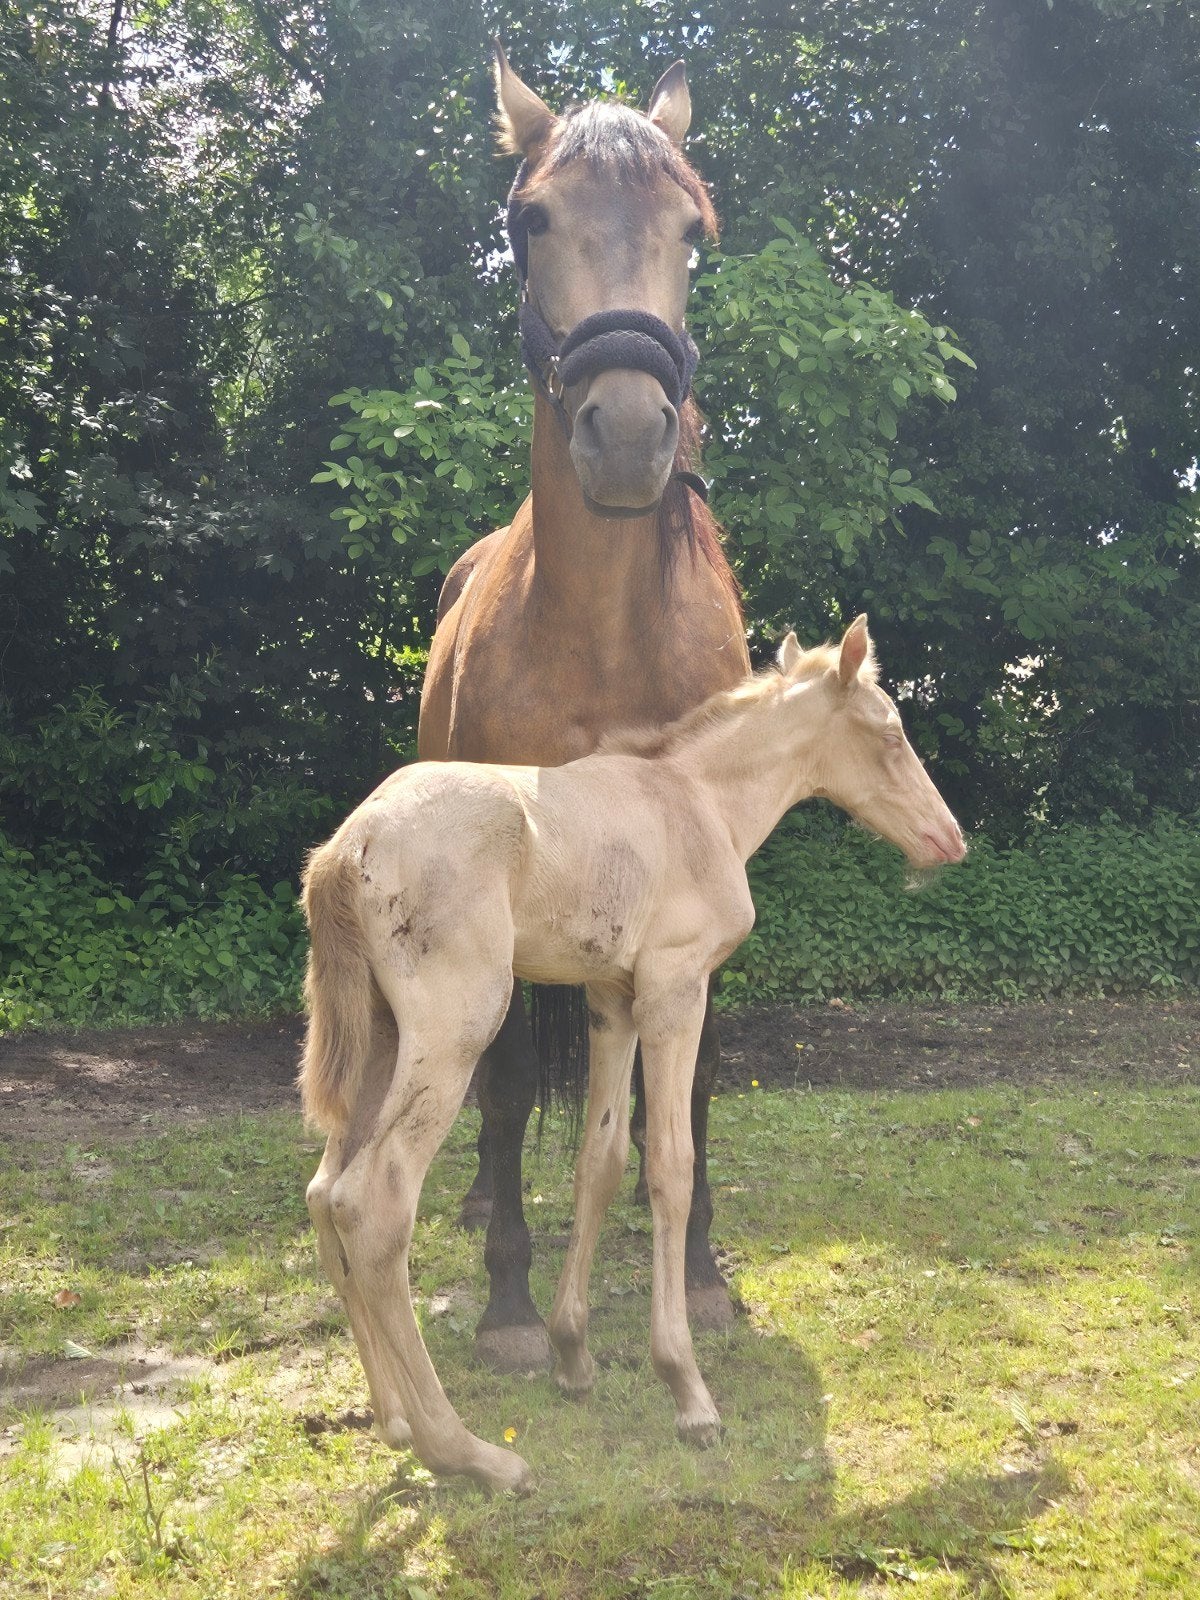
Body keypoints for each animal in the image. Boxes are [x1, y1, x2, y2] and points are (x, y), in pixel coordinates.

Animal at [300, 615, 967, 1492]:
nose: (948, 839)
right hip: (454, 1027)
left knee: (325, 1190)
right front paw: (687, 1392)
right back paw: (469, 1453)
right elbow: (670, 1168)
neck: (701, 803)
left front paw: (573, 1358)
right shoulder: (674, 988)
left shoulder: (610, 1000)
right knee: (373, 1202)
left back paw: (395, 1422)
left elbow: (601, 1160)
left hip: (378, 1034)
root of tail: (347, 848)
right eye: (890, 734)